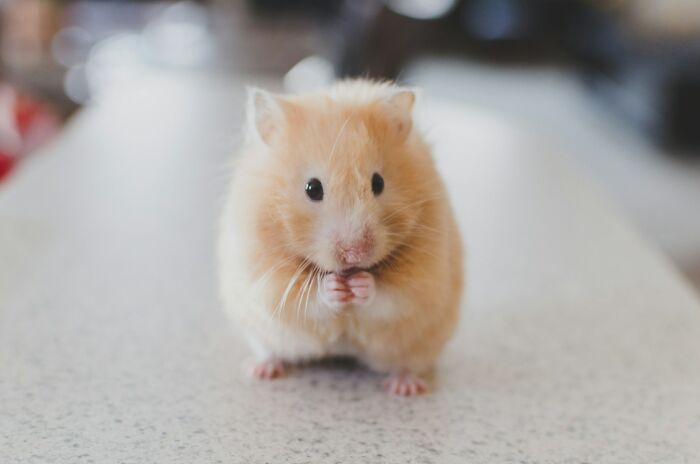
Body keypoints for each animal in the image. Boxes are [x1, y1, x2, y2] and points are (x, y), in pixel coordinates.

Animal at [218, 79, 464, 396]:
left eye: (378, 183)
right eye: (312, 188)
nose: (355, 254)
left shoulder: (423, 278)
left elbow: (391, 296)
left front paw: (361, 285)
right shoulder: (265, 276)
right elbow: (306, 298)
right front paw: (334, 287)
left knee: (409, 363)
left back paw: (405, 387)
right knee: (270, 351)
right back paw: (260, 370)